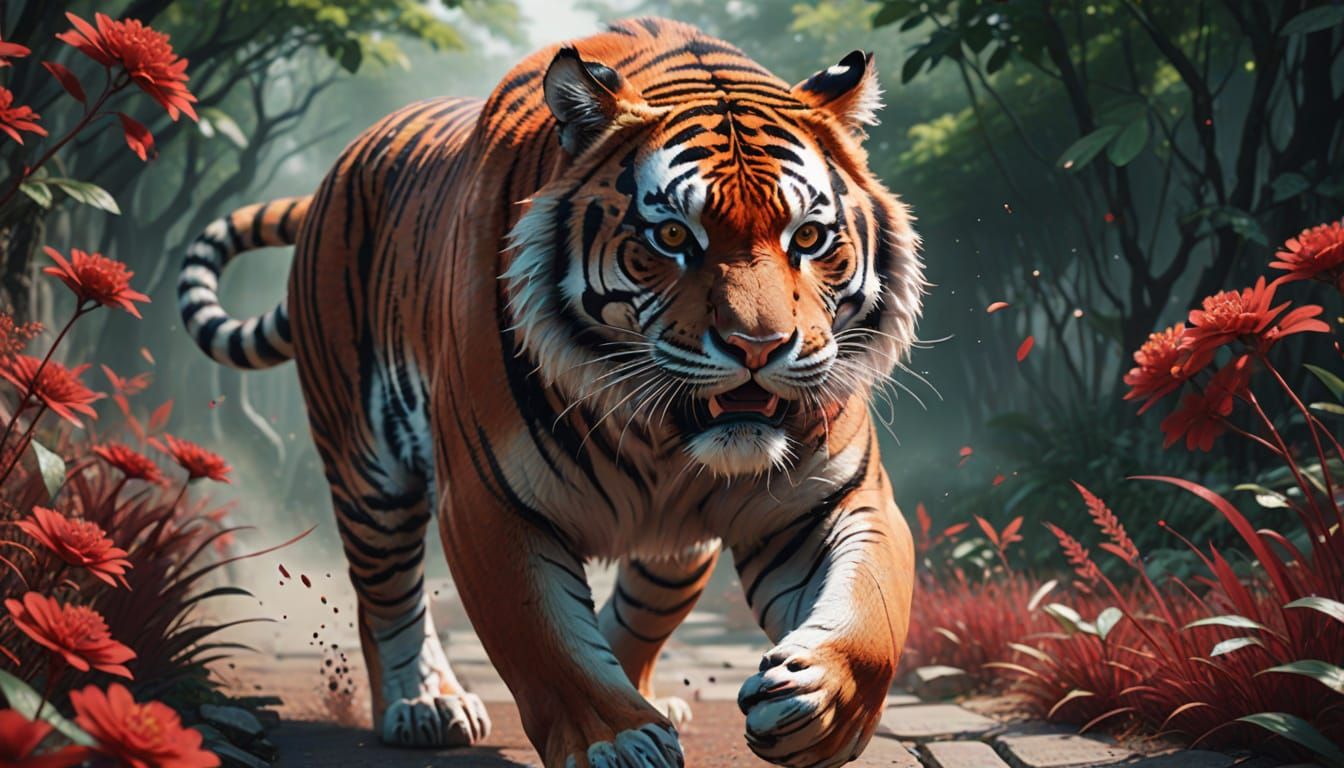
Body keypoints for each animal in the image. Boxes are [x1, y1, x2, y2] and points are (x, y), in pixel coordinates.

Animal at [178, 17, 922, 768]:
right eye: (673, 235)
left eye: (809, 237)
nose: (759, 347)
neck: (662, 439)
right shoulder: (490, 503)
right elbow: (548, 647)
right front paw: (618, 739)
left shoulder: (832, 496)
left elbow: (874, 610)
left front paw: (820, 707)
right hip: (367, 472)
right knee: (386, 595)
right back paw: (424, 703)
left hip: (678, 553)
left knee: (643, 611)